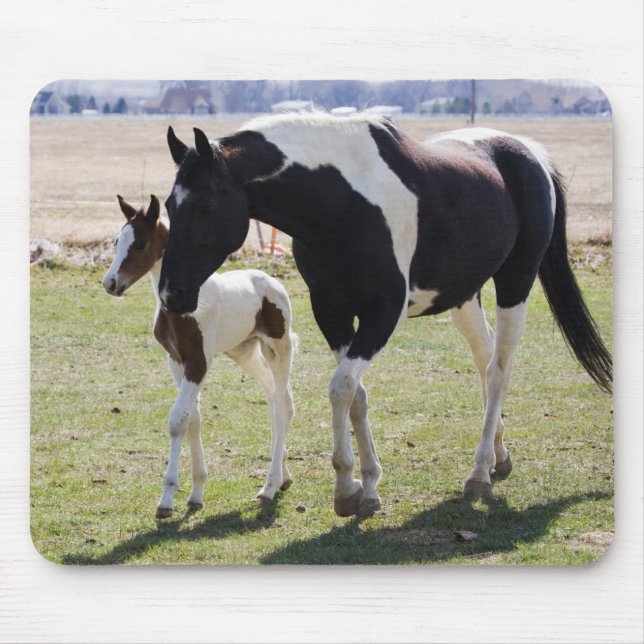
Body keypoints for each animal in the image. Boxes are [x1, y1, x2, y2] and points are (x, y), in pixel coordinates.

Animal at [102, 194, 296, 518]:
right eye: (117, 241)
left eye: (140, 244)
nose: (110, 284)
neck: (179, 306)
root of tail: (272, 282)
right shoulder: (176, 361)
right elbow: (193, 418)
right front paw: (196, 493)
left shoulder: (199, 362)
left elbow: (178, 420)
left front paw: (167, 499)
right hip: (244, 351)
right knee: (273, 396)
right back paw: (284, 476)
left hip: (278, 348)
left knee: (282, 405)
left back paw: (269, 487)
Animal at [157, 113, 612, 518]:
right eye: (168, 207)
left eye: (205, 206)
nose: (171, 295)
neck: (343, 204)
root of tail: (529, 153)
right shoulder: (332, 313)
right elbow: (356, 396)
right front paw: (369, 487)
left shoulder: (383, 315)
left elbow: (341, 388)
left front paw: (345, 487)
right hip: (466, 298)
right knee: (485, 363)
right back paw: (499, 455)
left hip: (516, 283)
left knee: (499, 371)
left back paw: (479, 472)